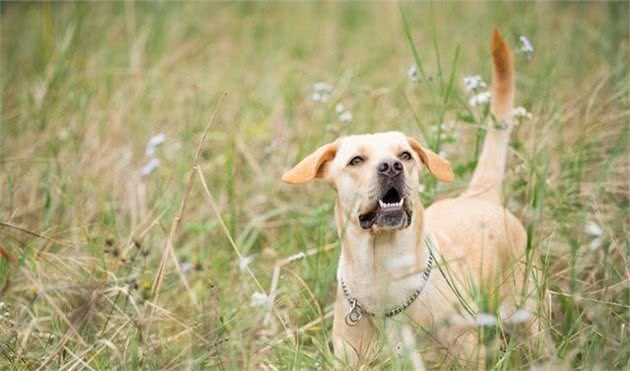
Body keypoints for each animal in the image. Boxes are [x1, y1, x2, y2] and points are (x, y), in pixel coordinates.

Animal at [284, 29, 532, 370]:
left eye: (405, 155)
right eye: (356, 160)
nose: (391, 166)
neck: (383, 273)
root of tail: (479, 196)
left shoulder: (468, 355)